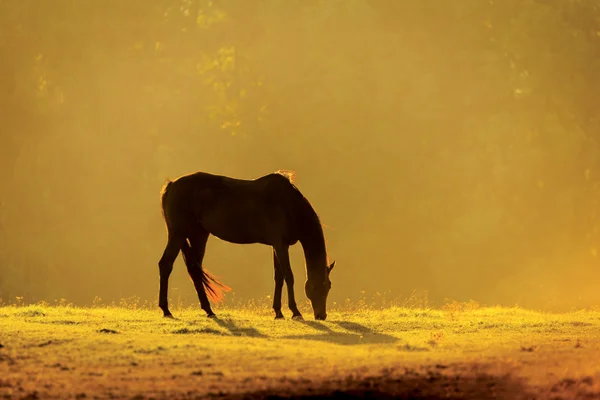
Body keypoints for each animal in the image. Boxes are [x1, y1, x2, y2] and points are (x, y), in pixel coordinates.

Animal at [157, 170, 336, 320]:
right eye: (317, 286)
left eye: (329, 286)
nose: (321, 315)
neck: (289, 204)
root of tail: (171, 185)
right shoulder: (281, 244)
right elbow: (288, 276)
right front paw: (295, 311)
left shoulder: (276, 245)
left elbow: (278, 277)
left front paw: (278, 312)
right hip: (178, 233)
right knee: (166, 264)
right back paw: (166, 310)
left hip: (198, 234)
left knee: (194, 268)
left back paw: (208, 310)